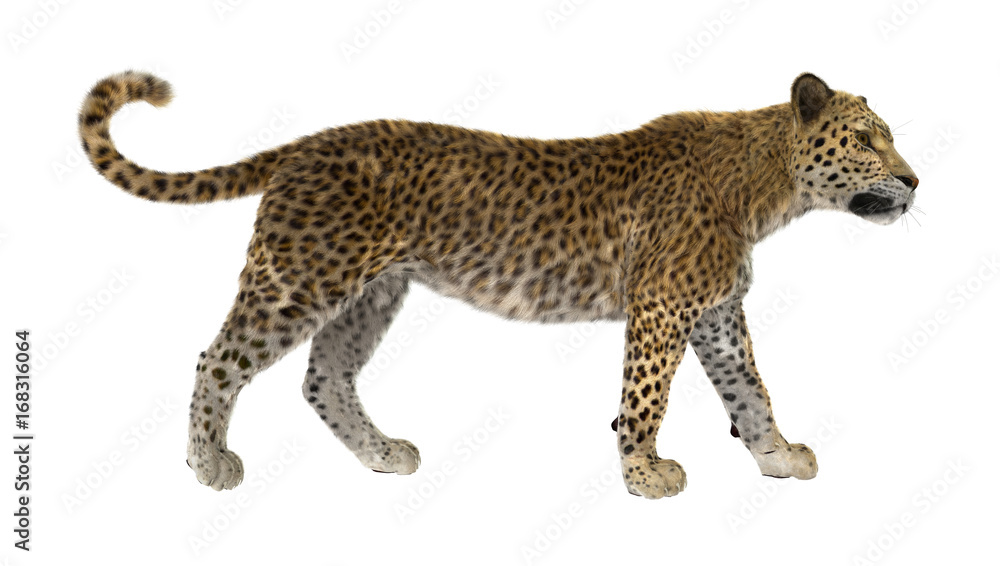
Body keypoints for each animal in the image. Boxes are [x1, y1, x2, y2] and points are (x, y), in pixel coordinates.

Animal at [79, 71, 917, 498]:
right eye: (866, 140)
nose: (913, 180)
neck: (770, 190)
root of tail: (308, 143)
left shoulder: (714, 313)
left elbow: (750, 391)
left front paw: (777, 458)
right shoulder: (662, 307)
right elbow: (645, 398)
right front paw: (644, 473)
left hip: (372, 292)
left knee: (325, 378)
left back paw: (383, 456)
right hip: (301, 277)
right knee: (219, 360)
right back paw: (209, 466)